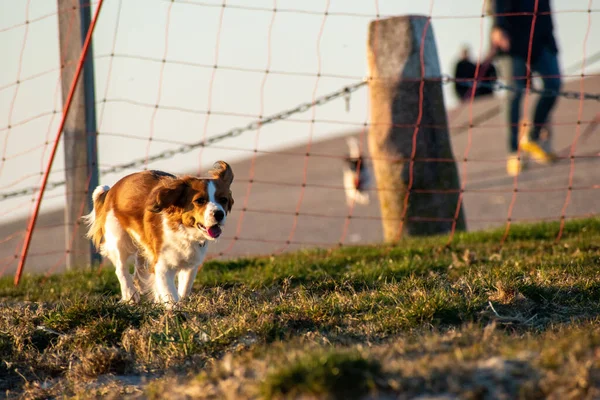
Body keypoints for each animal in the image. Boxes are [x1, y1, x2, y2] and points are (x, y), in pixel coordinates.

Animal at [83, 161, 233, 308]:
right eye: (200, 200)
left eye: (223, 200)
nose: (219, 214)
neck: (183, 230)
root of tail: (111, 190)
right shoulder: (162, 265)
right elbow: (170, 294)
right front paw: (174, 311)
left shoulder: (190, 266)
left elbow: (184, 289)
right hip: (119, 239)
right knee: (121, 268)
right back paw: (130, 295)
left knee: (139, 265)